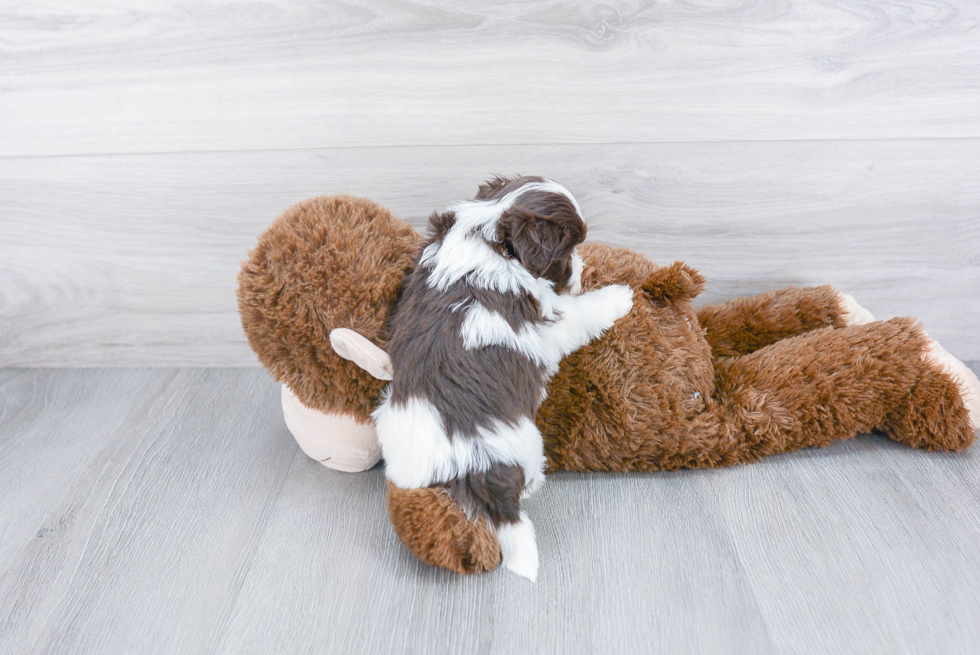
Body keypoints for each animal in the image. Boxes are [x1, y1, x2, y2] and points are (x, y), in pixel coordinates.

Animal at [372, 177, 632, 580]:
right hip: (527, 444)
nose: (582, 266)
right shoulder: (552, 320)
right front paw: (620, 296)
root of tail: (470, 470)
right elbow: (584, 311)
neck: (489, 231)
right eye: (567, 251)